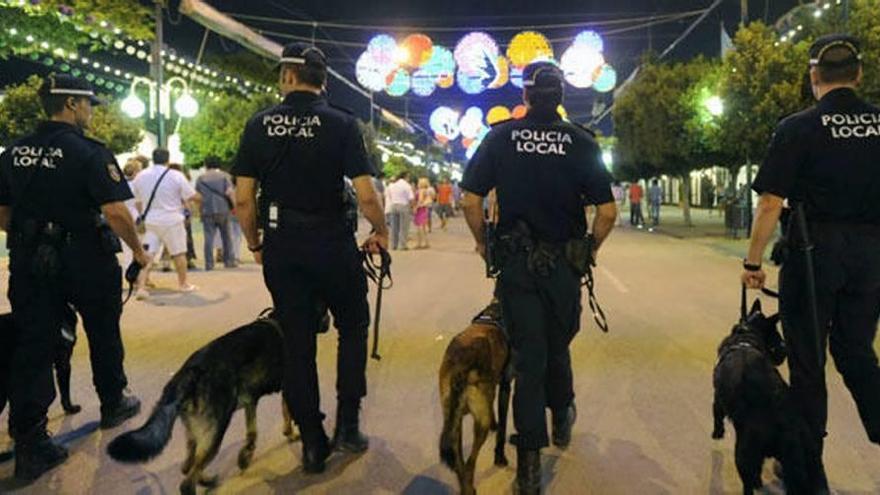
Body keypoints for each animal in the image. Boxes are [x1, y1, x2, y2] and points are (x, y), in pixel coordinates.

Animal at [438, 302, 512, 495]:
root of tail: (460, 366)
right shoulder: (505, 386)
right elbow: (502, 428)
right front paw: (500, 457)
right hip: (479, 423)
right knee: (470, 463)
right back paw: (470, 487)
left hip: (453, 424)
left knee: (460, 464)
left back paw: (466, 487)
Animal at [712, 298, 820, 495]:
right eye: (776, 334)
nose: (785, 350)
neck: (747, 335)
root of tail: (786, 426)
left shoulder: (717, 398)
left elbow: (716, 415)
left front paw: (717, 433)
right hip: (809, 459)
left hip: (744, 453)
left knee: (748, 483)